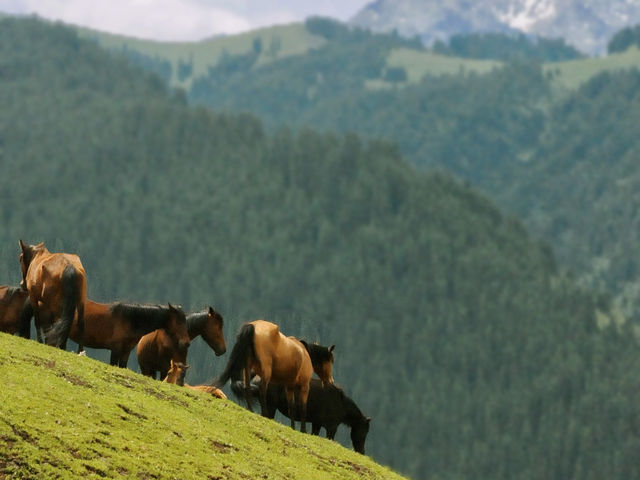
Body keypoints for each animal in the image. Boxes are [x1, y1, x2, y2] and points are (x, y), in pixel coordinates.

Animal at [232, 376, 370, 454]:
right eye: (365, 430)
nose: (362, 451)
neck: (341, 403)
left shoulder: (317, 423)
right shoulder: (331, 427)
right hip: (271, 406)